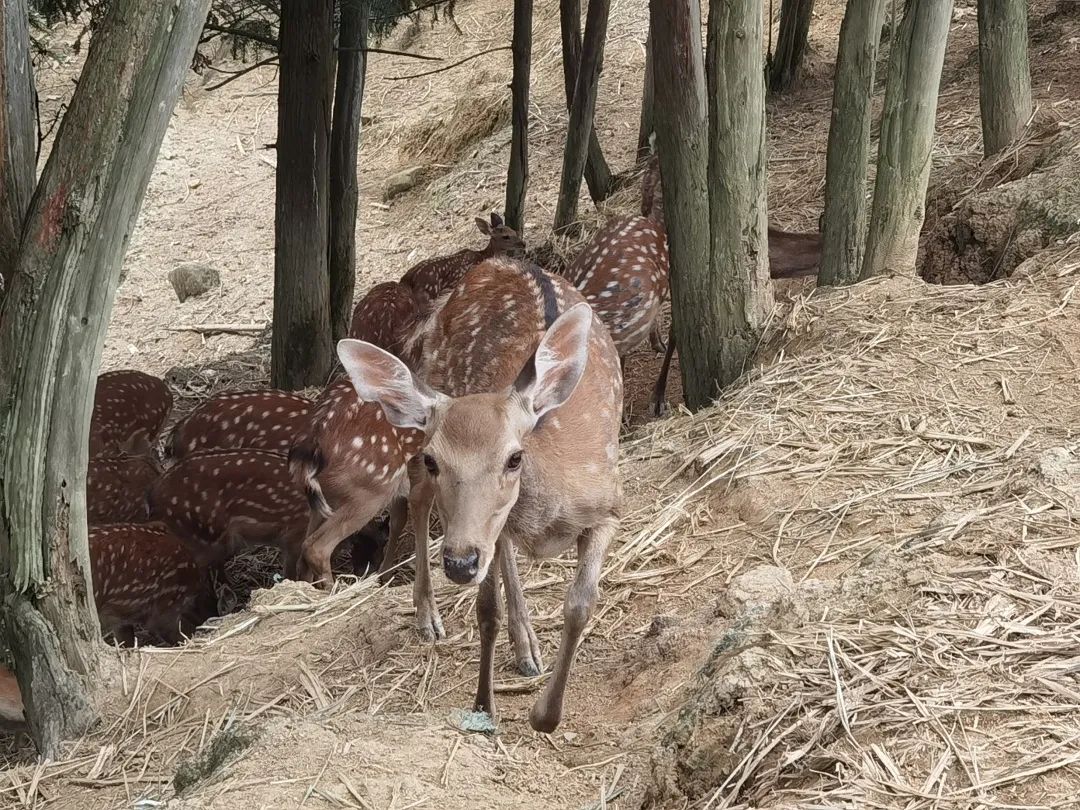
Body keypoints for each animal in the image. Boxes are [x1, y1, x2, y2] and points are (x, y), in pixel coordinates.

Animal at [289, 378, 423, 587]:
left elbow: (398, 520)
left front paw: (385, 575)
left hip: (327, 499)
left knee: (303, 555)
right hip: (369, 491)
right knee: (316, 548)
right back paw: (335, 589)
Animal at [336, 258, 626, 734]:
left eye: (514, 458)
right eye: (436, 460)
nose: (459, 563)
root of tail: (494, 261)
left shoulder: (609, 504)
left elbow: (580, 604)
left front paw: (545, 716)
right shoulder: (484, 528)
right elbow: (486, 611)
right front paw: (484, 706)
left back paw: (526, 646)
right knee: (418, 497)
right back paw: (428, 615)